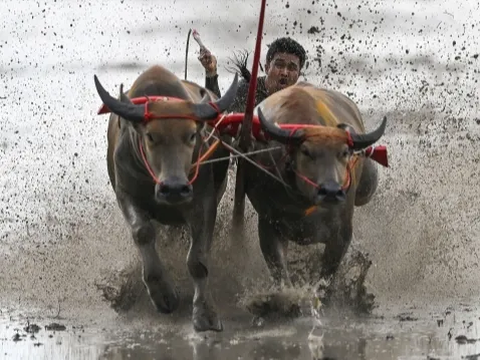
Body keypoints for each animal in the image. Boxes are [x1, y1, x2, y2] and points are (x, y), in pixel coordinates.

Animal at [93, 65, 238, 332]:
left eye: (191, 135)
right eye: (151, 136)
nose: (174, 188)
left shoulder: (203, 202)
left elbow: (198, 261)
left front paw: (205, 313)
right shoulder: (126, 194)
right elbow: (143, 233)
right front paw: (163, 295)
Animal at [242, 81, 388, 300]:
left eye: (344, 152)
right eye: (306, 151)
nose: (331, 192)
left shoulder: (342, 233)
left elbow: (326, 276)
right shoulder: (268, 225)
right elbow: (280, 273)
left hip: (367, 186)